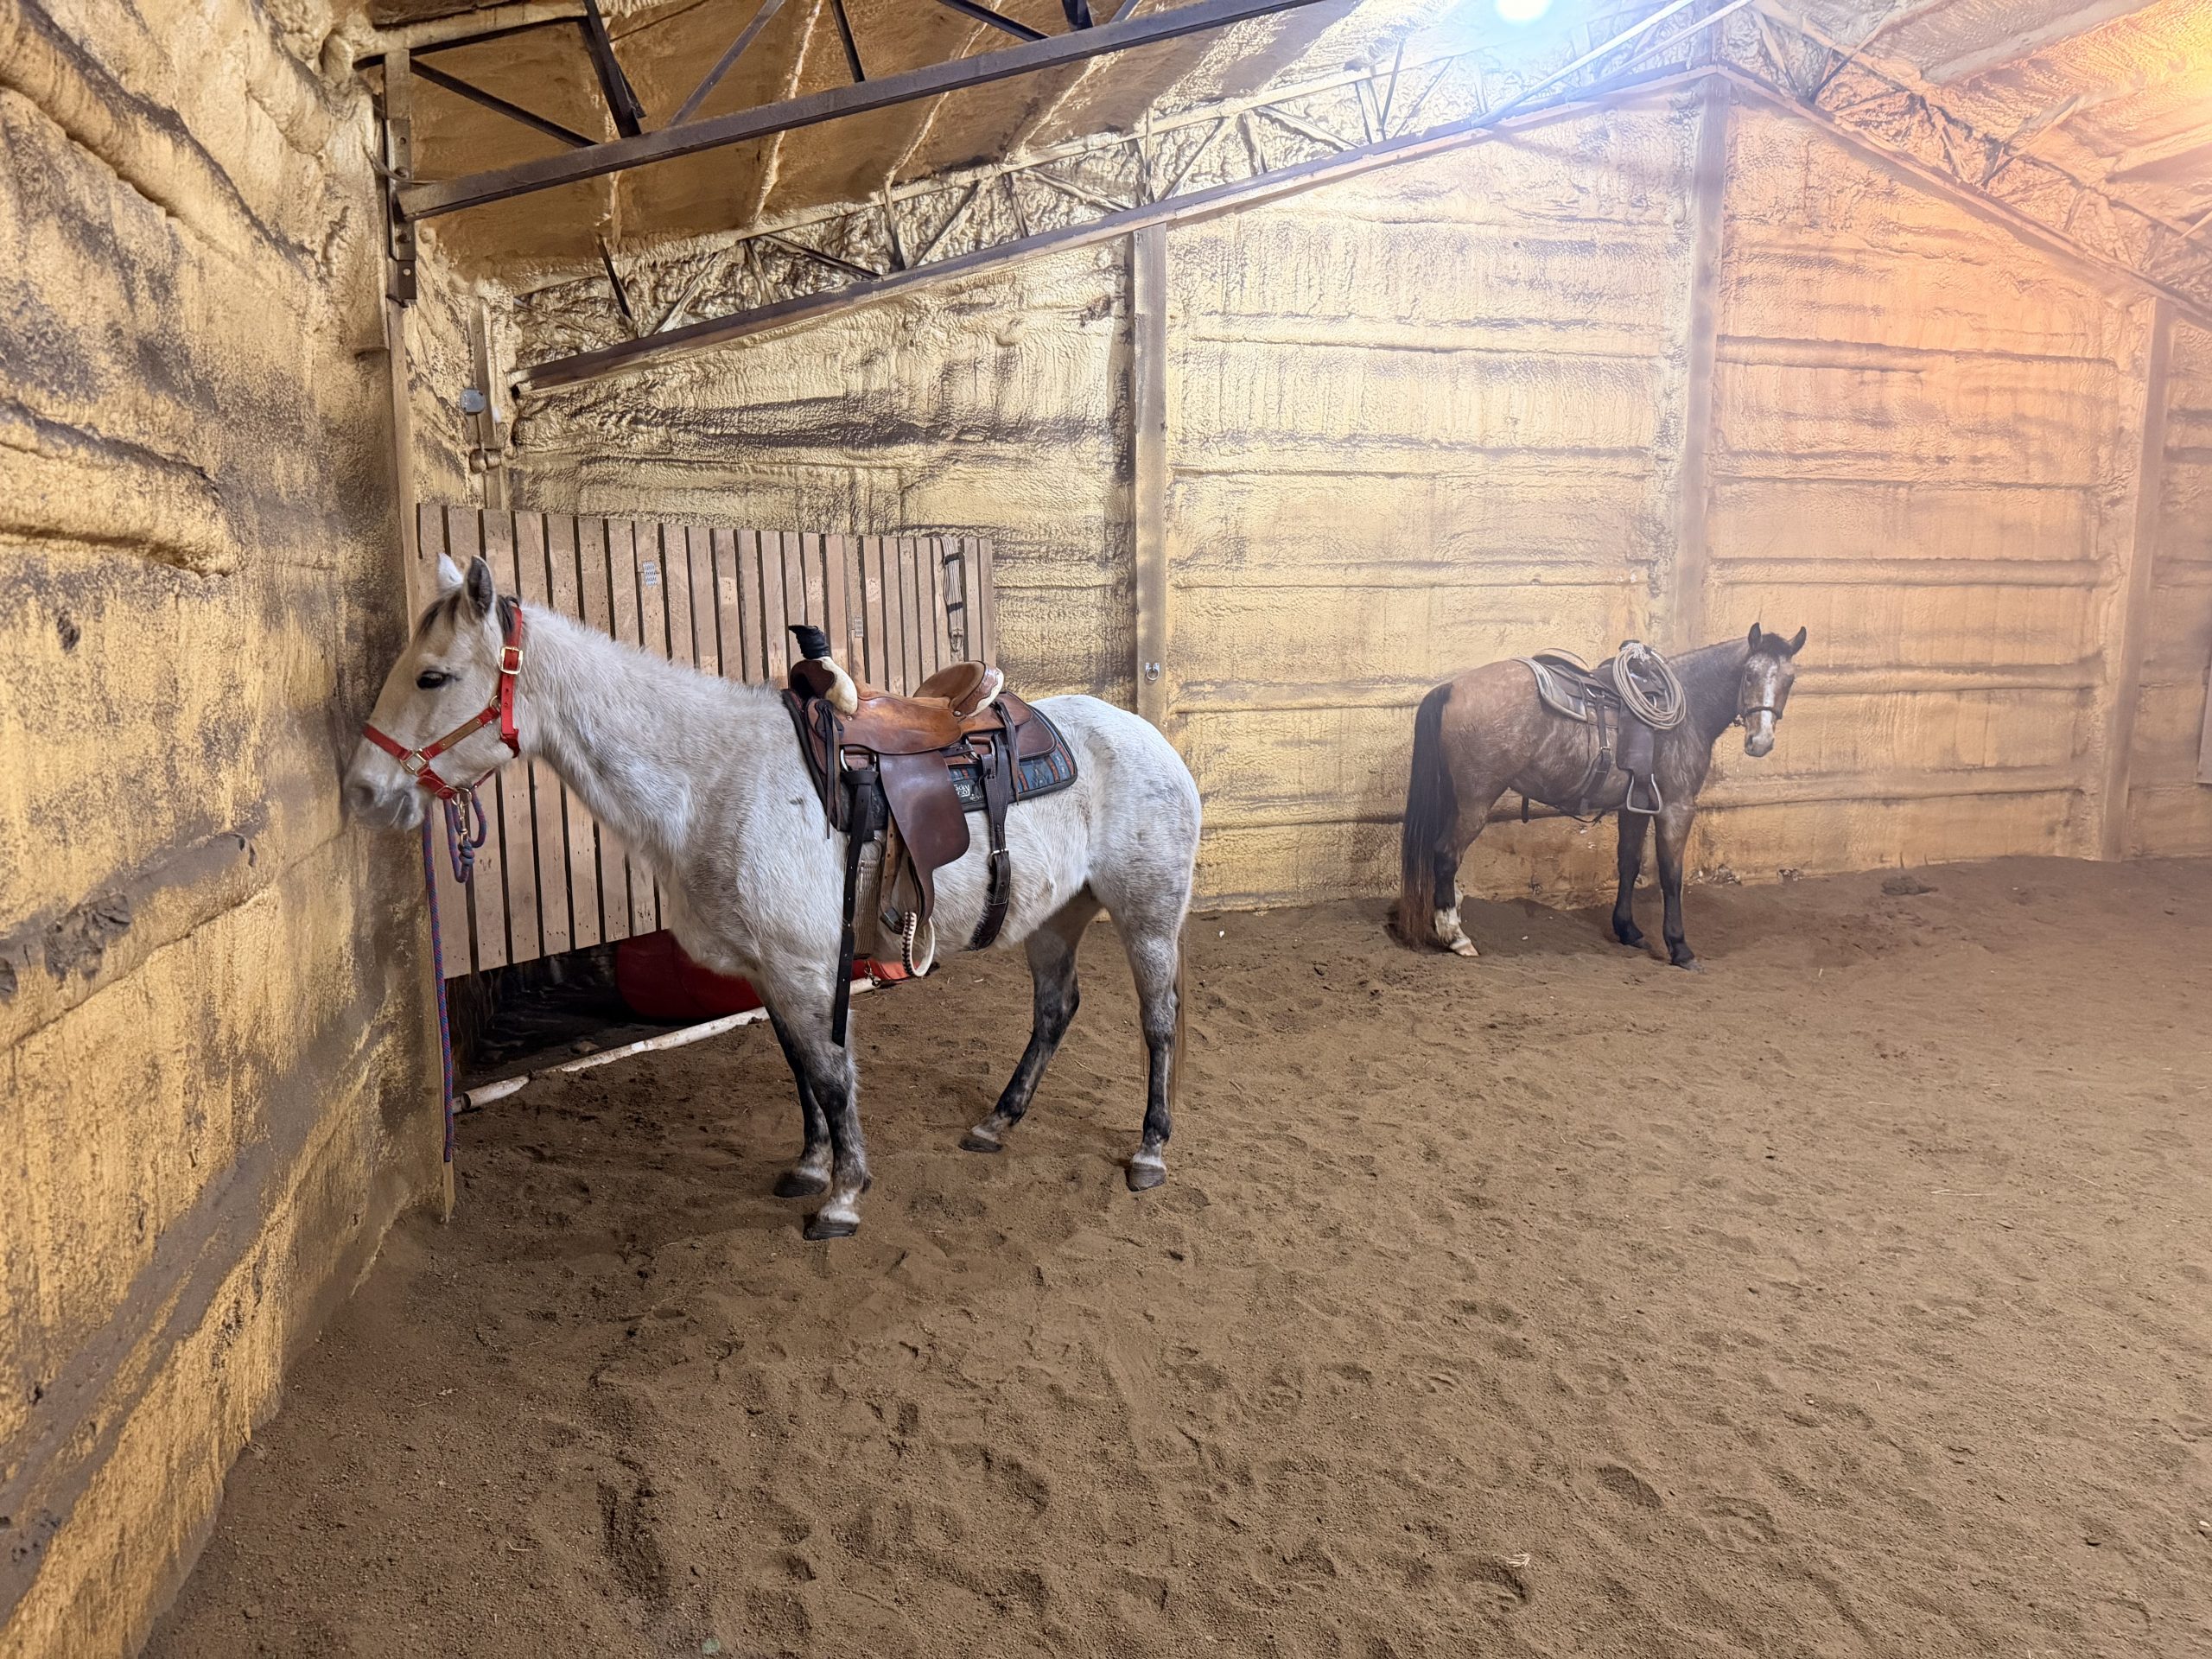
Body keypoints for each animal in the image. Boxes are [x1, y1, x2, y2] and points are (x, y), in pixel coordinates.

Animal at [344, 554, 1202, 1240]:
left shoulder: (801, 965)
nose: (363, 791)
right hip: (1056, 917)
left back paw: (1151, 1149)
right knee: (1055, 1010)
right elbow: (800, 1069)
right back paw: (998, 1121)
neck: (715, 781)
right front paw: (812, 1168)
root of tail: (1147, 735)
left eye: (432, 675)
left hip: (1148, 917)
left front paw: (844, 1198)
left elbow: (831, 1074)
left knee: (1158, 1020)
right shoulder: (765, 972)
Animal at [1395, 624, 1806, 969]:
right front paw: (1680, 948)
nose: (1761, 741)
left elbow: (1628, 863)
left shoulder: (1637, 806)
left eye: (1790, 679)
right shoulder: (1677, 807)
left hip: (1457, 799)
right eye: (1749, 674)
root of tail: (1452, 687)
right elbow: (1671, 876)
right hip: (1476, 803)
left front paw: (1628, 930)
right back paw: (1455, 936)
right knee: (1446, 855)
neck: (1688, 711)